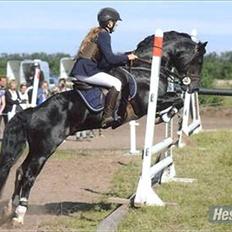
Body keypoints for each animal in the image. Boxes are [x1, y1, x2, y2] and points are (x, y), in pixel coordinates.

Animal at [0, 30, 207, 223]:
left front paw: (166, 116)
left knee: (20, 170)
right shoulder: (147, 104)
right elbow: (178, 99)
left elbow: (177, 100)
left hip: (36, 148)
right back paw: (20, 213)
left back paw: (11, 207)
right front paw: (164, 116)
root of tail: (32, 111)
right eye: (198, 60)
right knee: (29, 174)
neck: (146, 69)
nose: (194, 88)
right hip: (45, 148)